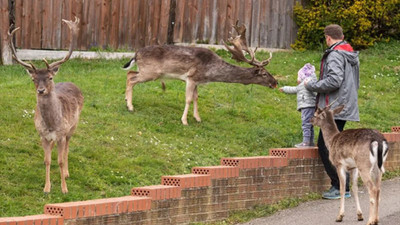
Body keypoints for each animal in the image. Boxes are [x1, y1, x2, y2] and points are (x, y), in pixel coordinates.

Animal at [8, 17, 83, 193]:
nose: (41, 90)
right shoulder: (42, 135)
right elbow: (49, 161)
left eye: (49, 77)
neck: (51, 124)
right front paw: (47, 187)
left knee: (67, 147)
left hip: (73, 126)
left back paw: (67, 172)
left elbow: (61, 160)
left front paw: (64, 188)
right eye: (33, 79)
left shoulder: (62, 133)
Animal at [123, 20, 276, 125]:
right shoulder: (191, 78)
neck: (210, 71)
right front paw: (184, 121)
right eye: (264, 73)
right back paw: (130, 107)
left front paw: (197, 118)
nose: (275, 82)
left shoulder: (197, 81)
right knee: (131, 78)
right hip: (151, 72)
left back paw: (126, 99)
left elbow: (196, 98)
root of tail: (136, 54)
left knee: (129, 73)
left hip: (145, 70)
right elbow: (188, 99)